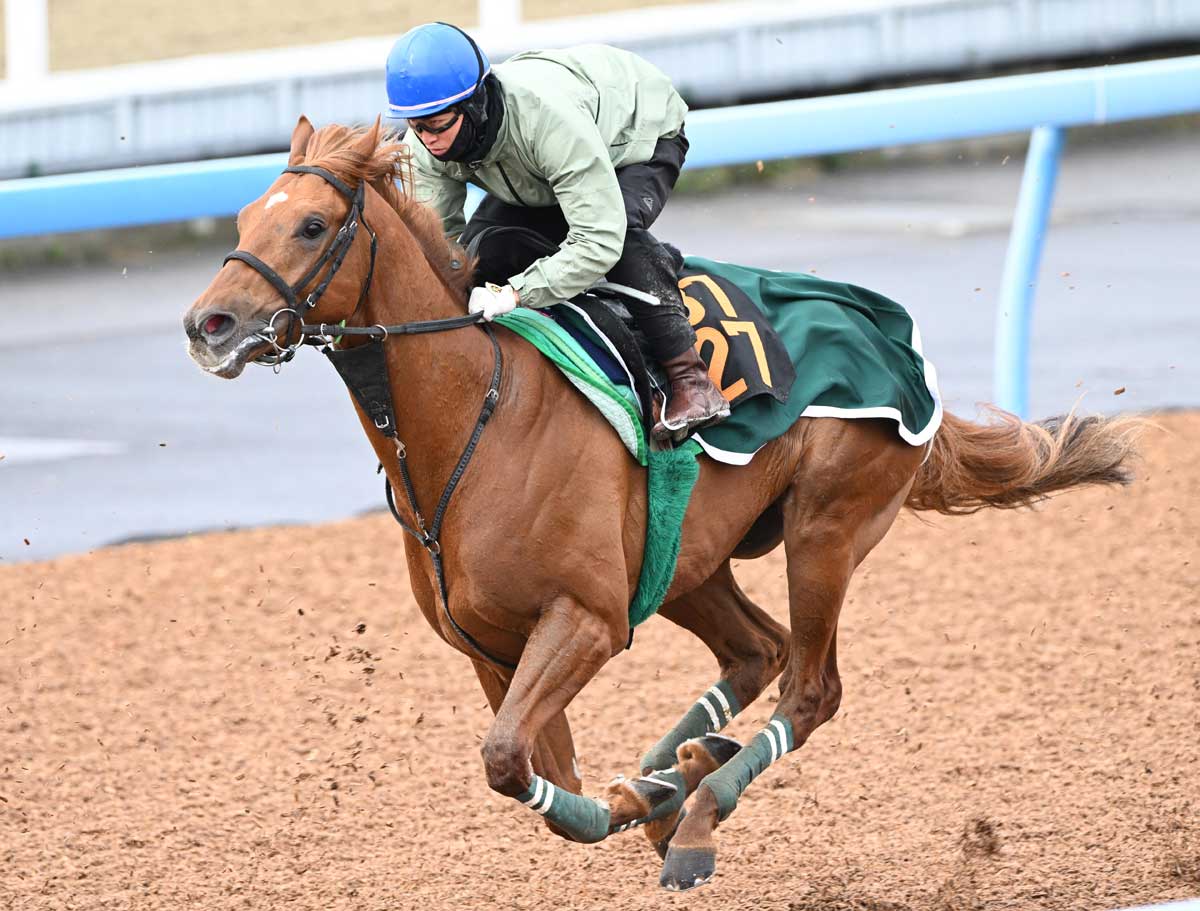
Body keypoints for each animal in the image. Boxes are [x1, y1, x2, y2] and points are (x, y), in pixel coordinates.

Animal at [183, 117, 1140, 891]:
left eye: (311, 224)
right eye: (243, 219)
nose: (208, 325)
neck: (479, 419)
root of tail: (892, 334)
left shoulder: (589, 616)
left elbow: (507, 759)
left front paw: (647, 810)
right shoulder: (490, 647)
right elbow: (541, 768)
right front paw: (635, 797)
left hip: (825, 526)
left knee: (810, 686)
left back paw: (697, 821)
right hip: (689, 558)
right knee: (758, 651)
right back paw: (678, 770)